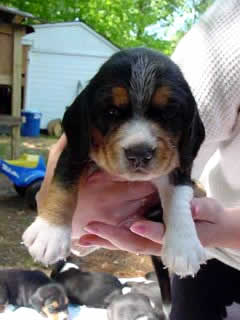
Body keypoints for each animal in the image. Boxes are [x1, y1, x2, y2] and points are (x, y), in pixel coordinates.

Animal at [23, 47, 205, 280]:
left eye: (168, 113)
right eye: (111, 112)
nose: (139, 153)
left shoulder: (180, 166)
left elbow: (179, 199)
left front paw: (184, 247)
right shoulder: (74, 150)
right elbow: (63, 186)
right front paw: (50, 232)